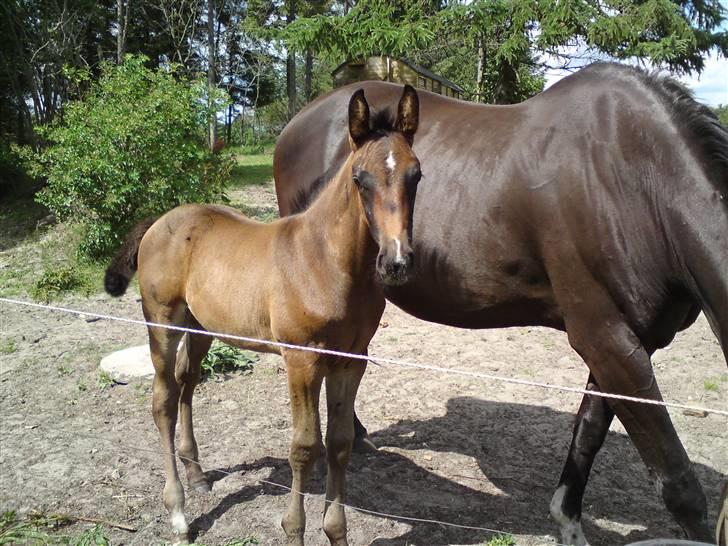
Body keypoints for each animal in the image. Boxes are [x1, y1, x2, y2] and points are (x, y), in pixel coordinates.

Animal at [103, 86, 420, 544]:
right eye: (360, 179)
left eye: (416, 176)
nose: (396, 262)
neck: (325, 261)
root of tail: (160, 221)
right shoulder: (302, 360)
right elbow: (304, 447)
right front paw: (294, 530)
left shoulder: (351, 359)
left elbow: (340, 442)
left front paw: (335, 532)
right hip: (161, 321)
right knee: (162, 400)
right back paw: (178, 512)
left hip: (201, 326)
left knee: (187, 382)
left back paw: (198, 475)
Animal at [274, 61, 728, 540]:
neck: (638, 180)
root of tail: (301, 121)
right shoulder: (606, 342)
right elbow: (677, 484)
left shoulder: (629, 344)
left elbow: (588, 432)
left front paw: (568, 521)